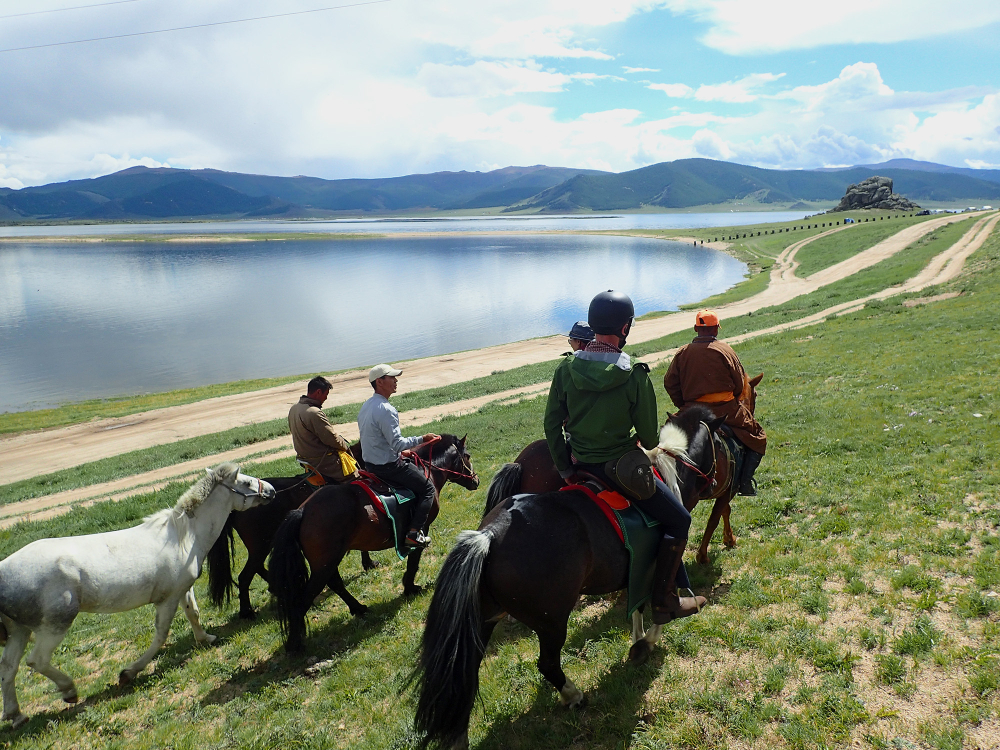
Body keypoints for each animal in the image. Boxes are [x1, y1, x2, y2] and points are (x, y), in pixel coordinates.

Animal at [0, 462, 274, 732]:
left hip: (20, 630)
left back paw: (17, 715)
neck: (185, 537)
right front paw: (129, 673)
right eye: (245, 482)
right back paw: (69, 691)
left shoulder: (183, 589)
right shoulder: (167, 600)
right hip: (55, 624)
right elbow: (161, 635)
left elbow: (193, 613)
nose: (271, 491)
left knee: (8, 667)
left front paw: (205, 638)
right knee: (37, 661)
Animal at [270, 434, 480, 652]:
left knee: (335, 583)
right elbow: (414, 559)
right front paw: (410, 587)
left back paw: (358, 608)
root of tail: (302, 511)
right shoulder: (423, 526)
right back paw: (295, 644)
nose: (476, 480)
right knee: (304, 599)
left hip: (327, 562)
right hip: (325, 564)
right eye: (467, 455)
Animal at [412, 408, 720, 750]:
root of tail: (488, 535)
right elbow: (659, 601)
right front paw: (652, 636)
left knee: (464, 674)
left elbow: (637, 604)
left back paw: (458, 735)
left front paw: (639, 639)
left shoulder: (640, 565)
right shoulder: (662, 554)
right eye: (720, 443)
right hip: (552, 623)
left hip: (482, 620)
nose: (716, 484)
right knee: (547, 664)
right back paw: (573, 695)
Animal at [480, 374, 760, 568]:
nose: (711, 482)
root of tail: (520, 462)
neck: (676, 463)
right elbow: (717, 516)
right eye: (718, 442)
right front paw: (710, 552)